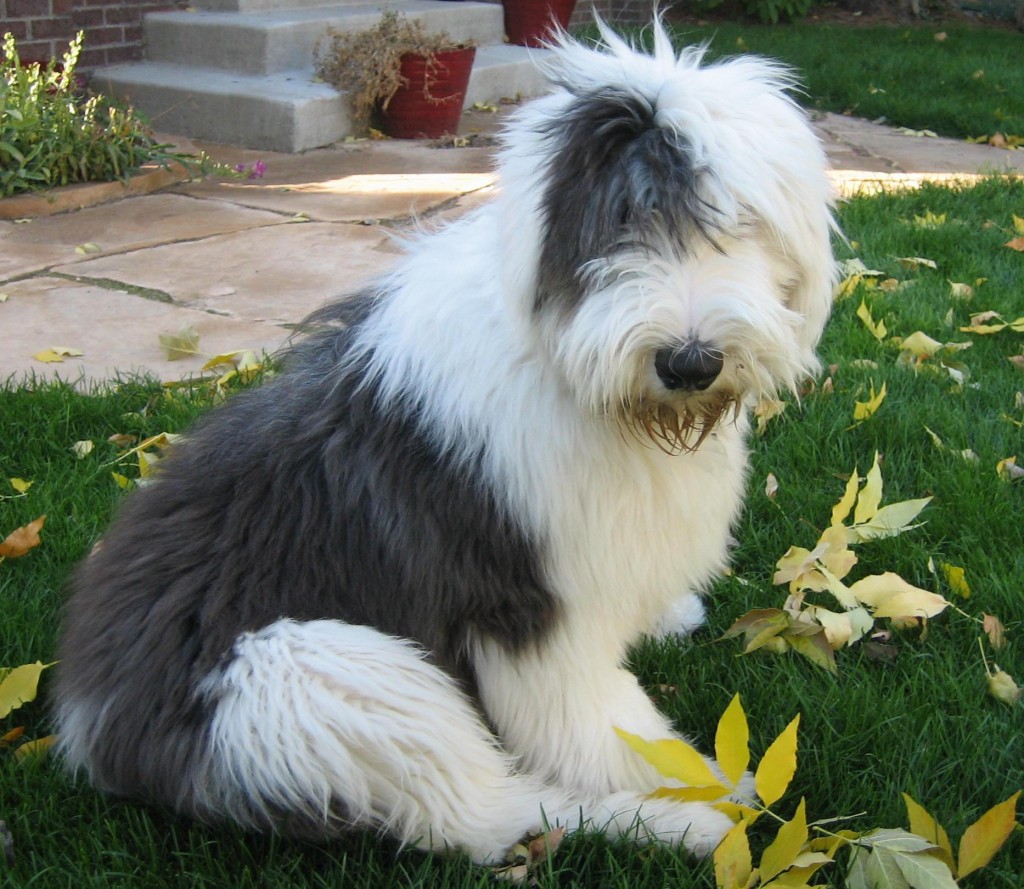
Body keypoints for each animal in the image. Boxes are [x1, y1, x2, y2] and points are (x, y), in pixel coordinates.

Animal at [54, 20, 831, 864]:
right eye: (621, 224)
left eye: (739, 223)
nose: (689, 362)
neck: (570, 366)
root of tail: (92, 720)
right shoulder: (523, 594)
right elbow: (592, 719)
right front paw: (681, 777)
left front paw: (665, 616)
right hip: (308, 674)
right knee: (491, 815)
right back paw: (686, 821)